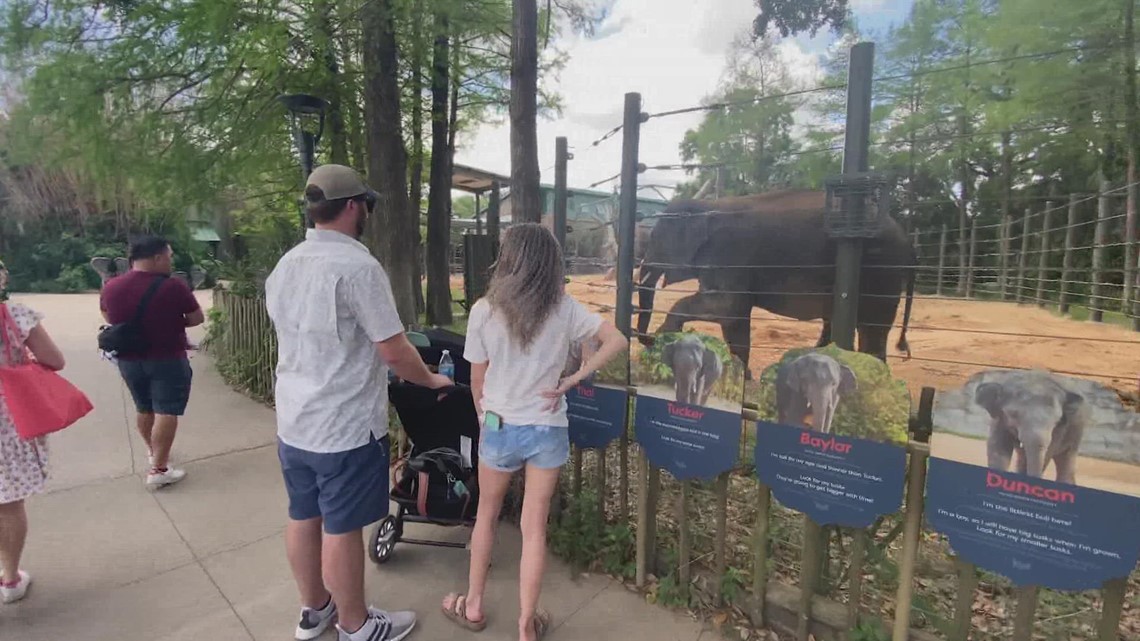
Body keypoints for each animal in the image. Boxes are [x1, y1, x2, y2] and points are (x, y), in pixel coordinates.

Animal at [633, 189, 916, 374]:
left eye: (654, 241)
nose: (647, 338)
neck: (705, 204)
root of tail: (907, 240)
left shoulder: (729, 255)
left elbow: (727, 308)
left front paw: (665, 333)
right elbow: (733, 320)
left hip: (879, 272)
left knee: (872, 331)